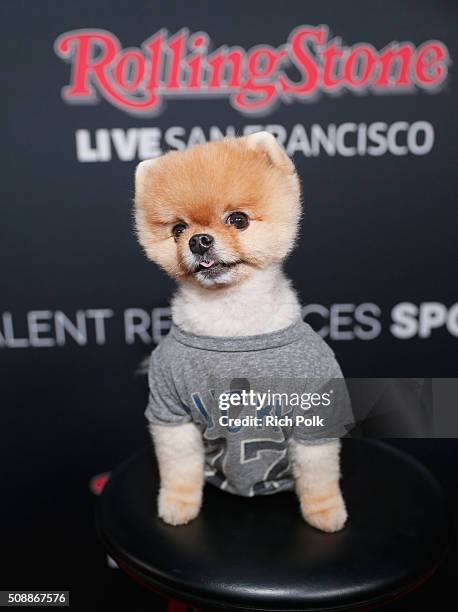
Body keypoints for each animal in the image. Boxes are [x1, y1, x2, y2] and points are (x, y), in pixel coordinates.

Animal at [132, 133, 348, 532]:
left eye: (238, 220)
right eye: (178, 230)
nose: (199, 240)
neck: (231, 320)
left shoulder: (314, 409)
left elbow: (318, 474)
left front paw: (325, 511)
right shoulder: (171, 411)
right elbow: (178, 468)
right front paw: (178, 504)